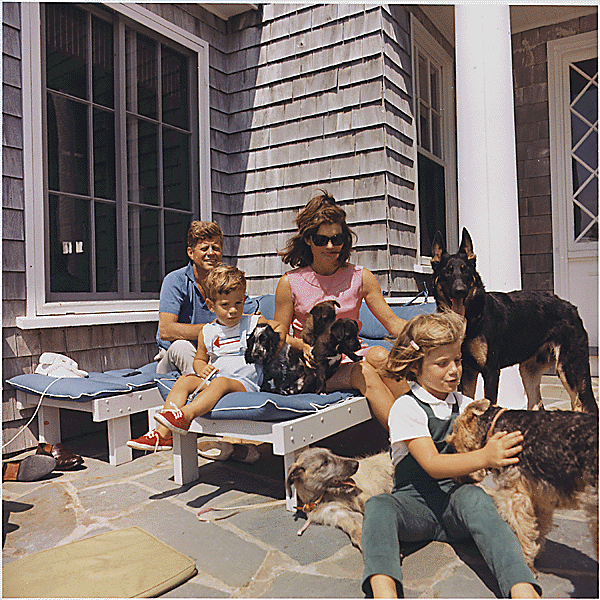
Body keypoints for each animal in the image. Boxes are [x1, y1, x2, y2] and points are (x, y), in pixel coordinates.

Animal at [432, 229, 596, 412]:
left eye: (465, 270)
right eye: (447, 271)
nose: (459, 291)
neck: (473, 317)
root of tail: (571, 308)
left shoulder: (491, 372)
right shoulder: (467, 372)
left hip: (568, 370)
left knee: (580, 405)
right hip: (528, 371)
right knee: (537, 405)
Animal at [448, 398, 596, 568]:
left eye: (452, 440)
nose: (457, 479)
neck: (495, 427)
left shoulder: (514, 495)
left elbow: (521, 532)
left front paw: (525, 561)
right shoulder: (539, 497)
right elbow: (536, 529)